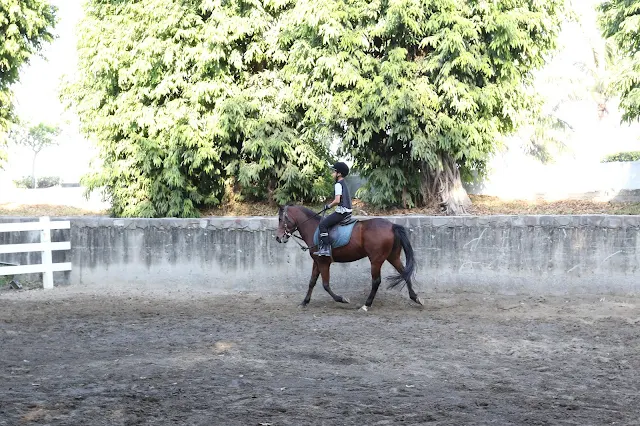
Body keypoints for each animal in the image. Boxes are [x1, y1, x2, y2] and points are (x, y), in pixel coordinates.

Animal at [272, 205, 422, 312]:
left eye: (280, 219)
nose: (278, 238)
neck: (313, 228)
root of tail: (392, 226)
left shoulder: (324, 262)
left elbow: (325, 285)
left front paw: (342, 299)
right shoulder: (317, 261)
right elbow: (312, 282)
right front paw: (304, 302)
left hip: (376, 260)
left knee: (376, 281)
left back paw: (366, 305)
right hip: (392, 256)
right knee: (404, 273)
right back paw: (416, 298)